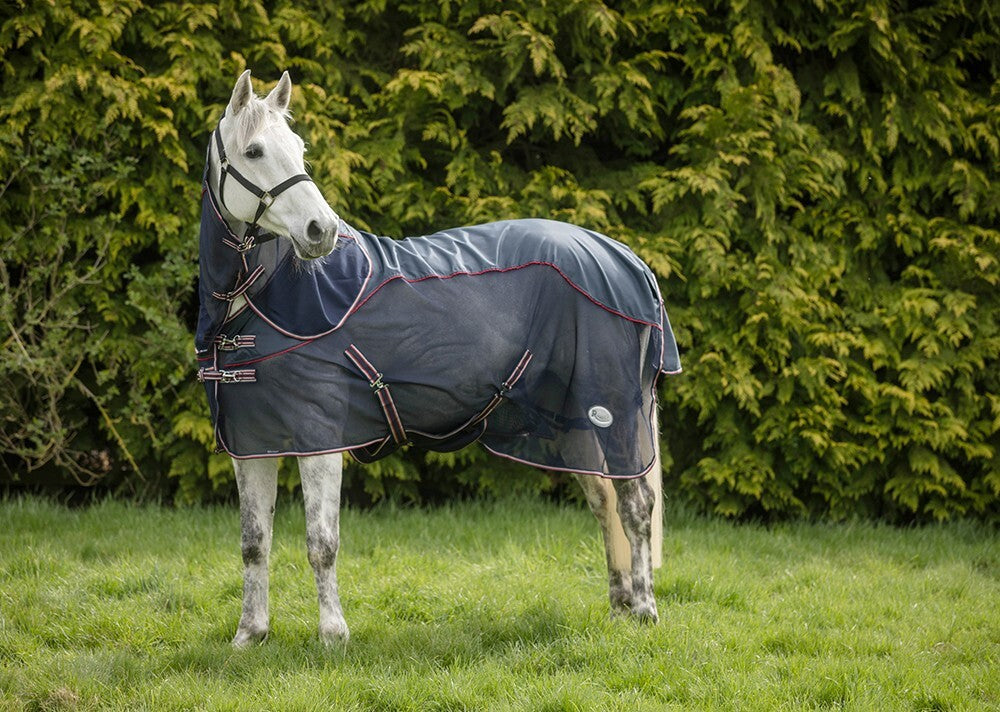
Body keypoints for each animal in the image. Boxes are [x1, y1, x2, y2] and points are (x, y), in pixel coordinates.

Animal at [196, 70, 681, 646]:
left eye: (300, 149)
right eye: (254, 151)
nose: (322, 231)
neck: (269, 304)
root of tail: (626, 259)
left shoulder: (320, 438)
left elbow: (321, 543)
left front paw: (333, 637)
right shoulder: (253, 444)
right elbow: (254, 543)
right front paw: (250, 636)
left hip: (615, 412)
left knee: (636, 505)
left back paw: (647, 611)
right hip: (577, 420)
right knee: (604, 503)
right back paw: (620, 607)